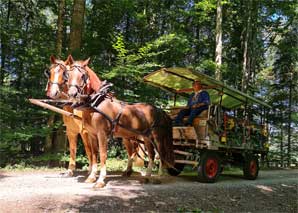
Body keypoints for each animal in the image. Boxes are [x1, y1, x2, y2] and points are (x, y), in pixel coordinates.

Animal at [66, 57, 175, 188]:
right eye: (68, 74)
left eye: (82, 76)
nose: (72, 94)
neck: (96, 104)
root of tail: (160, 110)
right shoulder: (92, 135)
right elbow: (94, 155)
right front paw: (92, 177)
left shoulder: (102, 134)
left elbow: (103, 154)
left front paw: (100, 180)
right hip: (146, 137)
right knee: (152, 155)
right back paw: (147, 177)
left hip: (157, 137)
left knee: (161, 154)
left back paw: (158, 177)